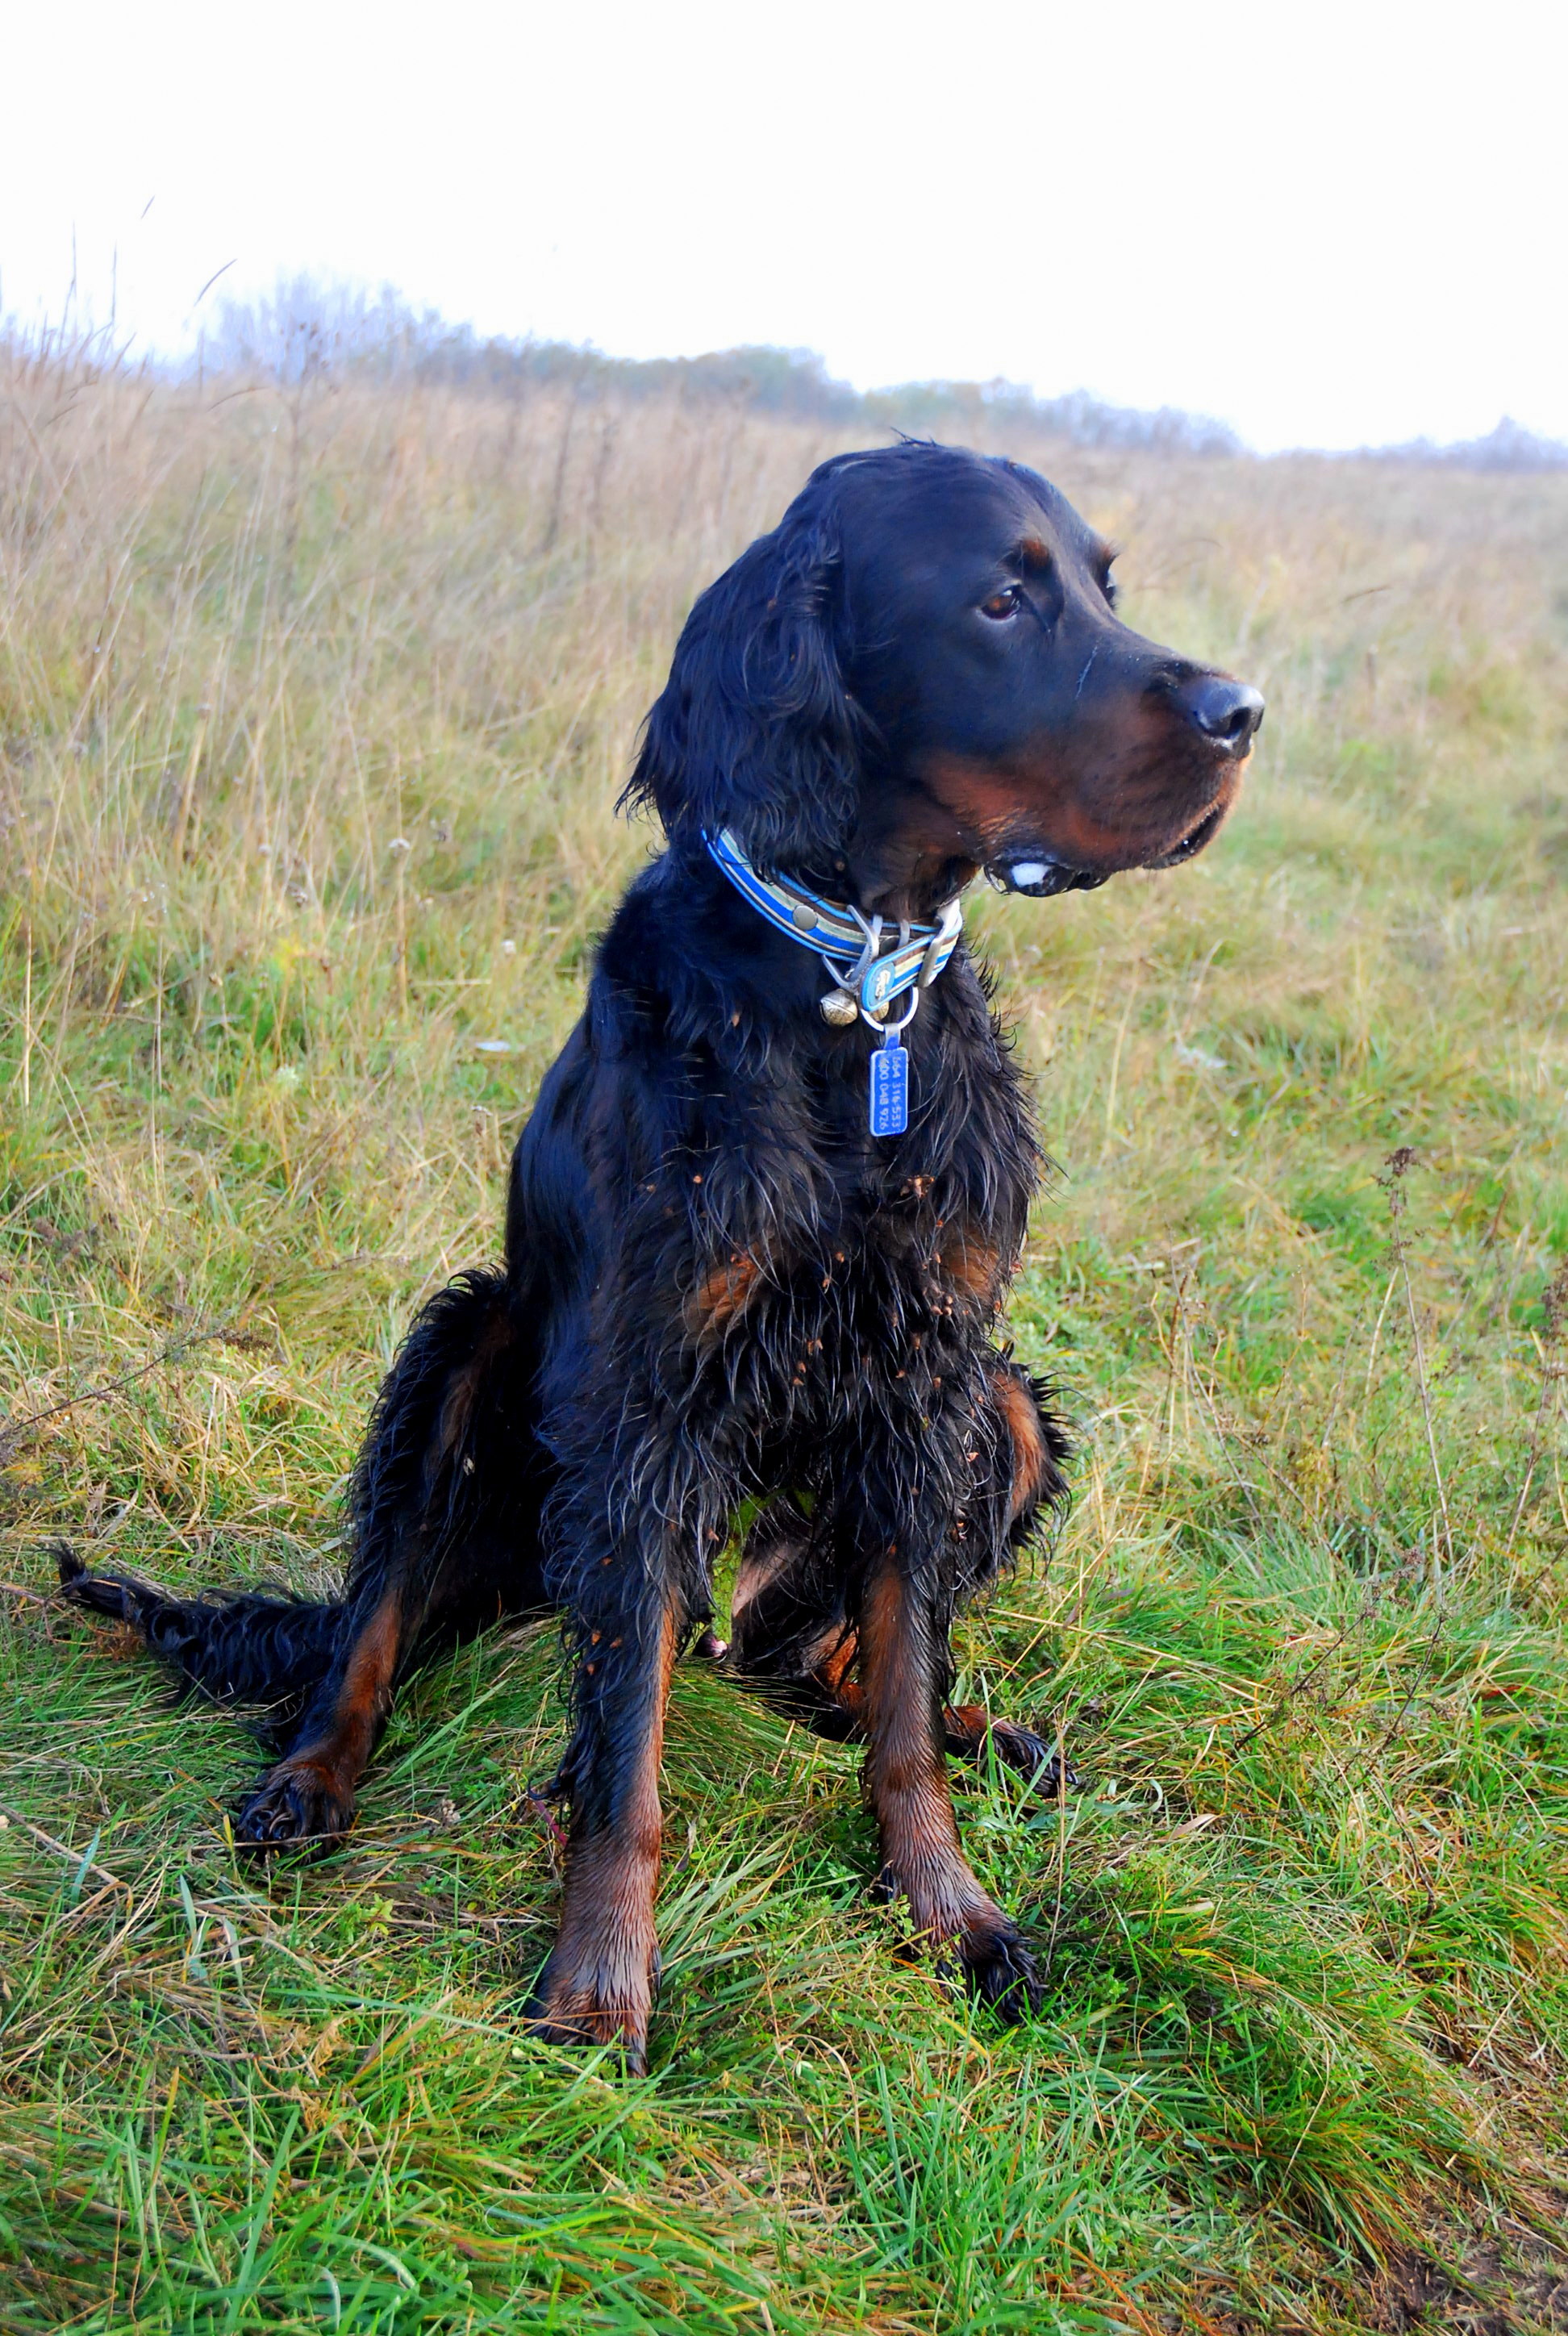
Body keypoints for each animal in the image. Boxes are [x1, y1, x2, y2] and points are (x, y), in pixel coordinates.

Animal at [61, 440, 1262, 2070]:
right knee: (377, 1624)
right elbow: (622, 1746)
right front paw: (598, 1982)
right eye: (1000, 601)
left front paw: (949, 1907)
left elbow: (896, 1698)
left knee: (831, 1665)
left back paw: (977, 1726)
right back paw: (311, 1779)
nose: (1241, 714)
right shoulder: (645, 1401)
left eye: (1101, 586)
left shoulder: (929, 1375)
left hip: (1002, 1412)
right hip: (469, 1346)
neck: (847, 1002)